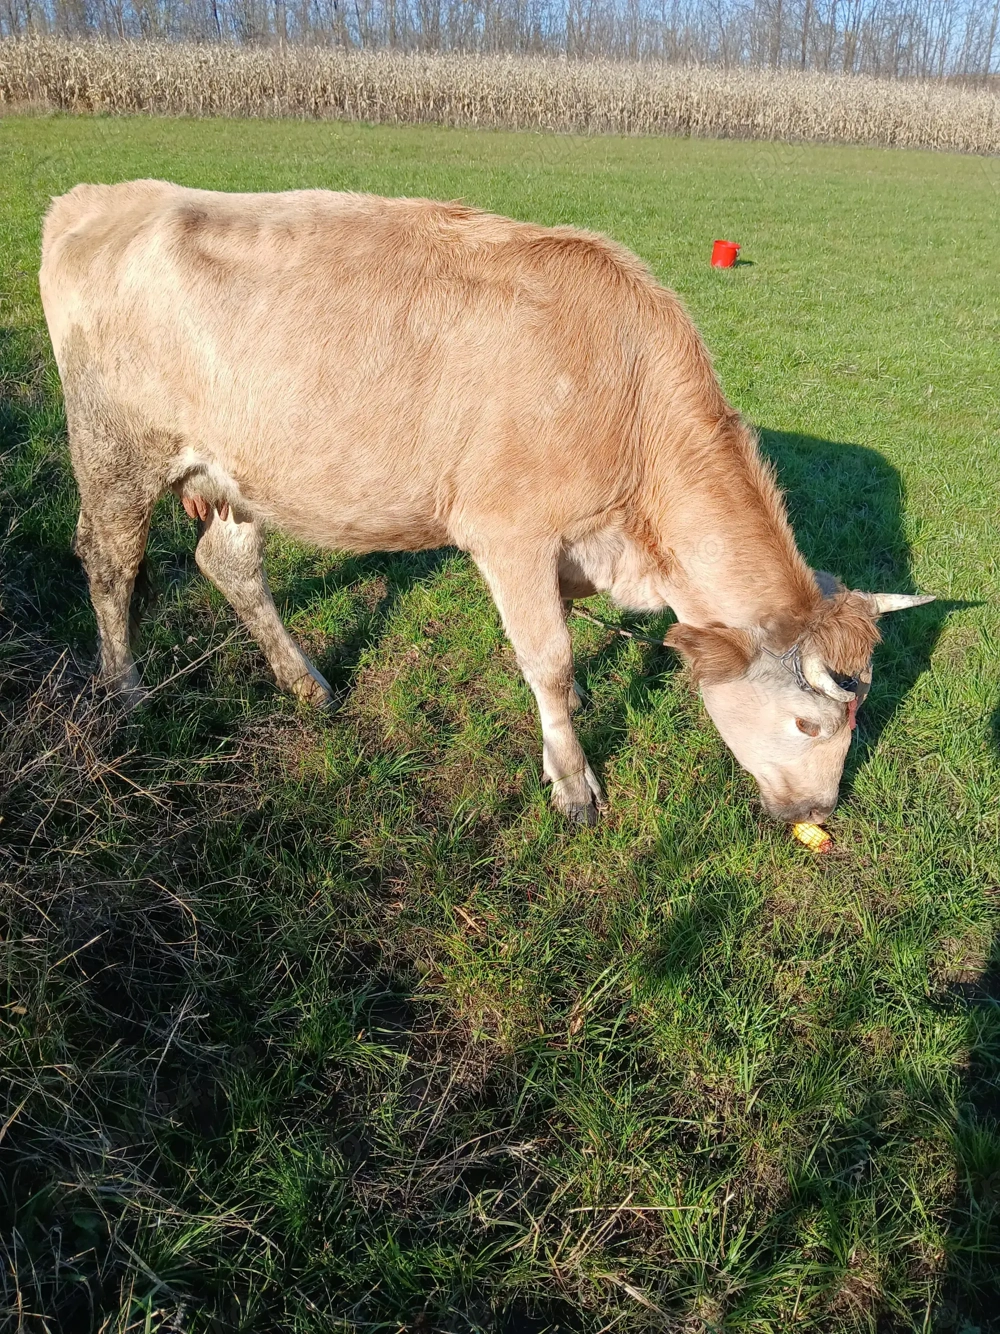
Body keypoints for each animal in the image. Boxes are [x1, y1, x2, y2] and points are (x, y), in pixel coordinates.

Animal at [39, 180, 932, 826]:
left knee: (225, 563)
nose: (818, 810)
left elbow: (561, 643)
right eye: (810, 724)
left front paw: (575, 709)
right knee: (110, 563)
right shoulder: (512, 533)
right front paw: (573, 780)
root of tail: (97, 198)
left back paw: (307, 685)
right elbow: (548, 655)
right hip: (116, 448)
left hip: (240, 472)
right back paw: (127, 696)